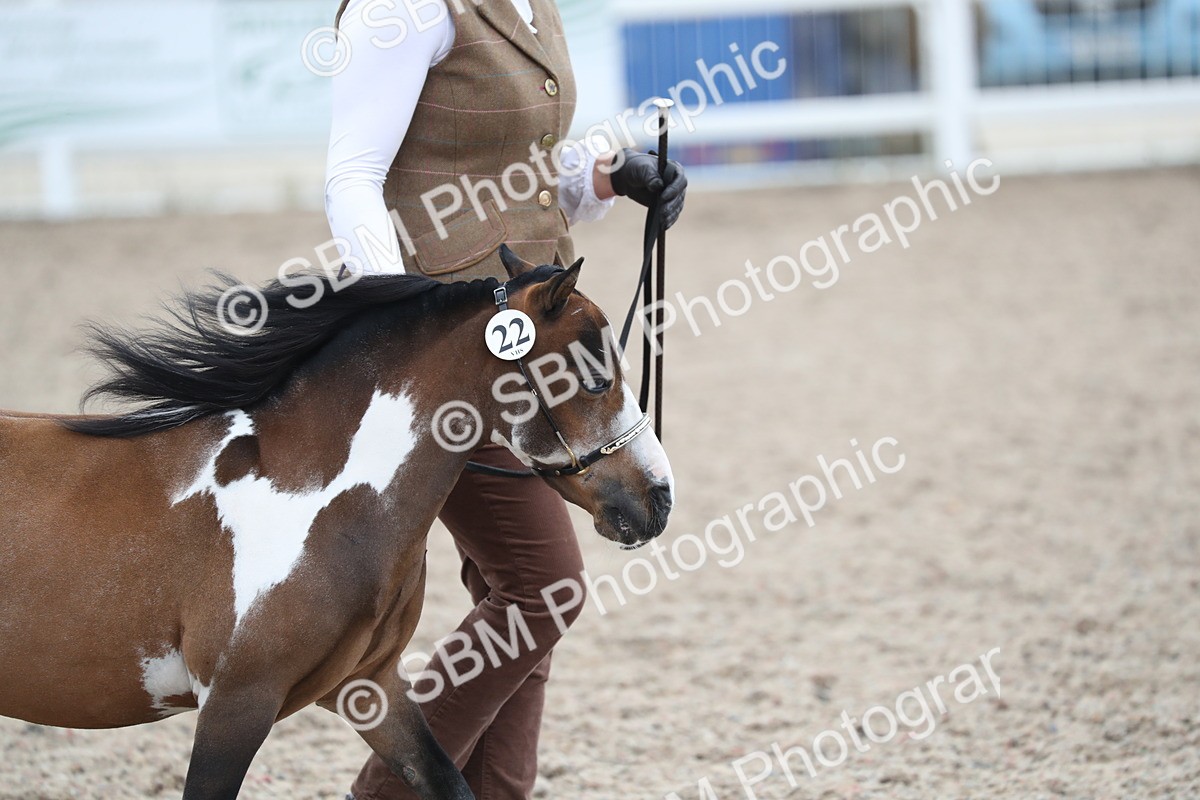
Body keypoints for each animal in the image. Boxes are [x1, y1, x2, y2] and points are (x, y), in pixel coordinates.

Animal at [0, 246, 674, 800]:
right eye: (594, 378)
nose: (659, 497)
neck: (312, 500)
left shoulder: (370, 686)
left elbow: (448, 781)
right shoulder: (234, 704)